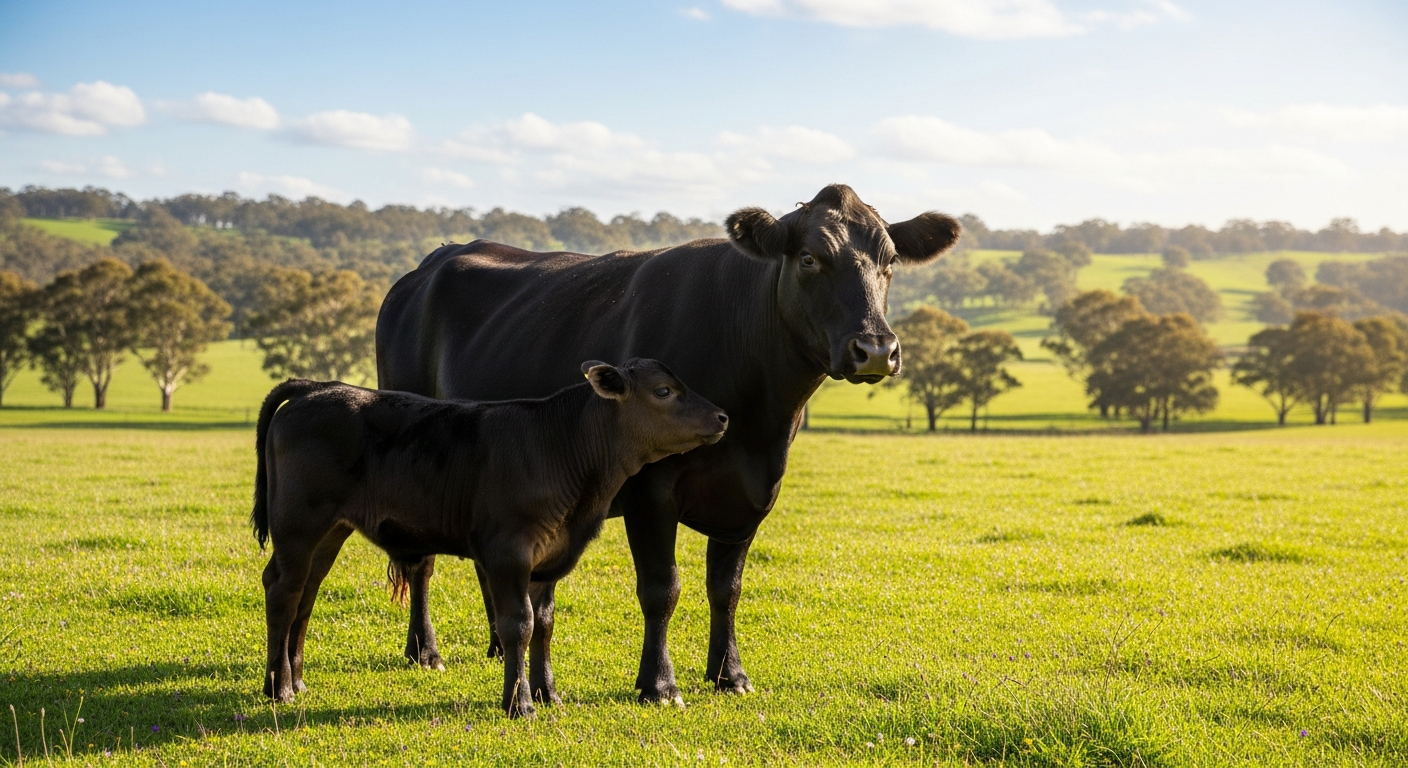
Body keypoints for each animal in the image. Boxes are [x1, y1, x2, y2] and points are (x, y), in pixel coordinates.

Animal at [250, 359, 728, 717]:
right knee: (283, 589)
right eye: (664, 391)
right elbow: (518, 624)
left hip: (330, 530)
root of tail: (317, 389)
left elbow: (544, 624)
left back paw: (297, 680)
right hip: (298, 525)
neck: (560, 446)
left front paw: (547, 694)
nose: (723, 415)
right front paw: (519, 704)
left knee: (307, 592)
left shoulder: (549, 558)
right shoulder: (508, 552)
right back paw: (279, 688)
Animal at [376, 184, 960, 704]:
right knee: (421, 562)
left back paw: (498, 644)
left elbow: (726, 588)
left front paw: (730, 674)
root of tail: (434, 259)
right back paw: (425, 651)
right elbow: (662, 590)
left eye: (889, 261)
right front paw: (658, 684)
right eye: (811, 258)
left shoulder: (753, 493)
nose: (877, 349)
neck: (757, 417)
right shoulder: (650, 490)